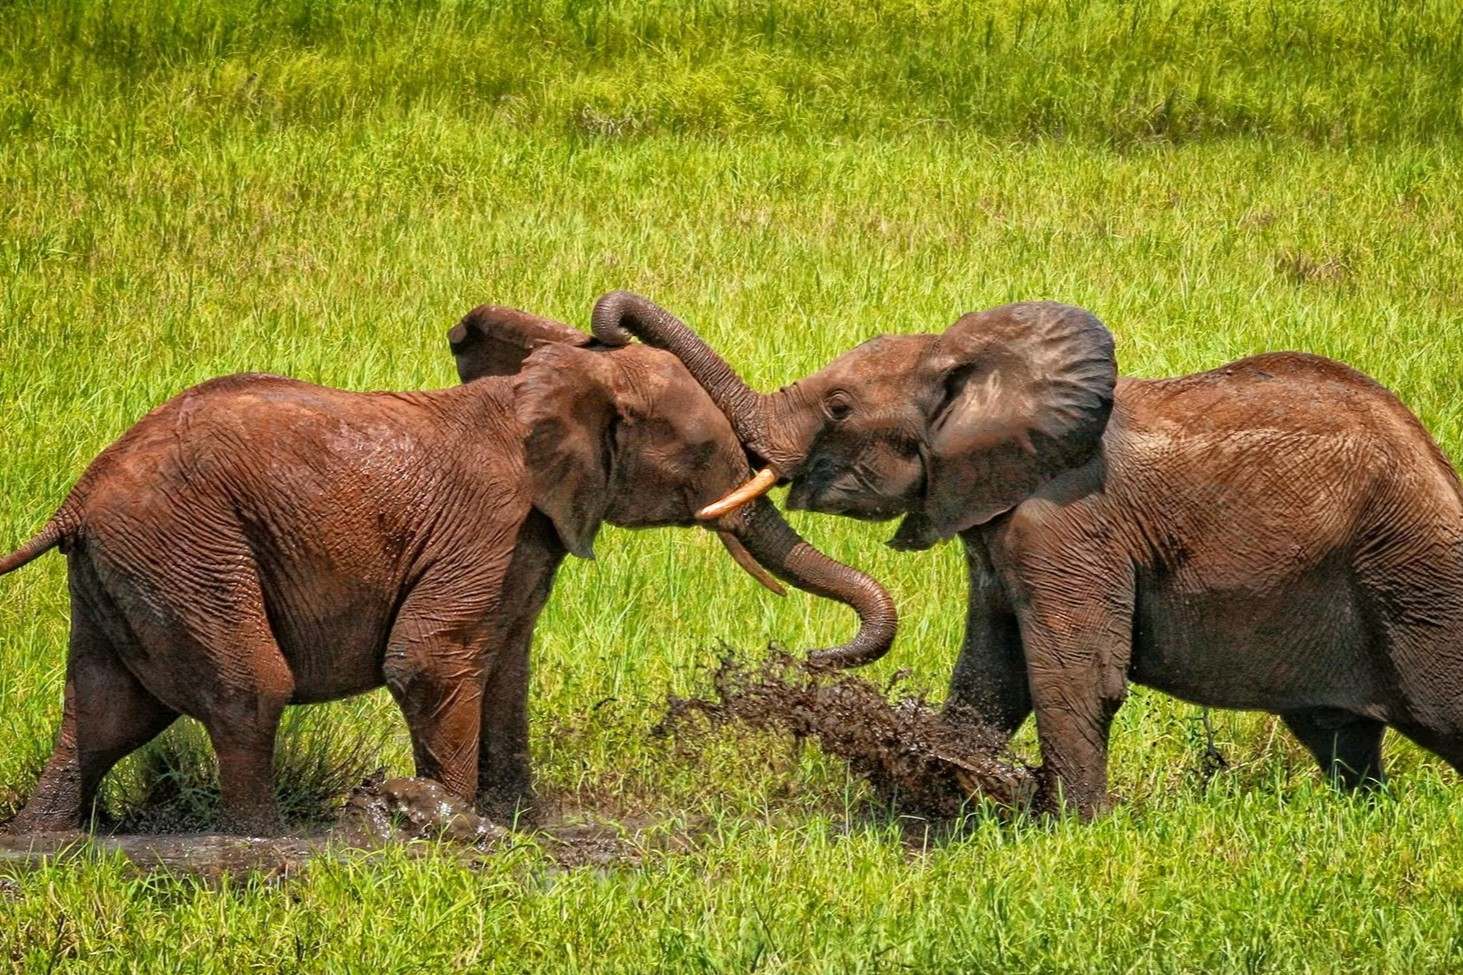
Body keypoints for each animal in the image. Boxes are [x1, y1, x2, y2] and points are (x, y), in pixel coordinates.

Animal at [0, 304, 895, 835]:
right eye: (709, 451)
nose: (813, 659)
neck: (551, 384)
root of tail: (77, 498)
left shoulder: (531, 533)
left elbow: (505, 668)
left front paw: (521, 823)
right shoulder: (486, 522)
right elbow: (431, 660)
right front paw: (458, 826)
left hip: (135, 567)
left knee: (104, 713)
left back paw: (45, 840)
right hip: (189, 551)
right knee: (250, 690)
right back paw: (264, 841)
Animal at [591, 290, 1463, 816]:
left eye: (837, 406)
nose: (604, 326)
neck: (970, 368)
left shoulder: (1066, 524)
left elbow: (1069, 672)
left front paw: (1077, 829)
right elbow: (990, 674)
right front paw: (937, 797)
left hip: (1413, 575)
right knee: (1338, 737)